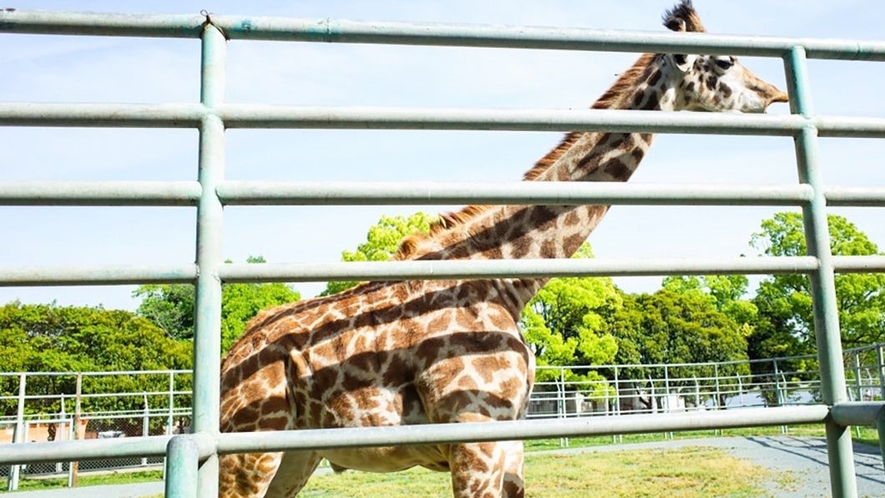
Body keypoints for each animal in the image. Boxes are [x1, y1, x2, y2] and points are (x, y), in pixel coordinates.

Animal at [219, 1, 788, 496]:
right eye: (724, 60)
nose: (777, 94)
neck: (508, 279)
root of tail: (229, 358)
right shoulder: (474, 437)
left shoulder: (509, 442)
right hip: (250, 447)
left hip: (297, 454)